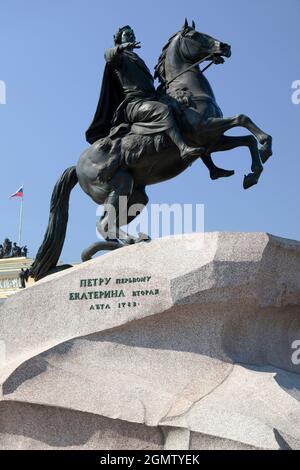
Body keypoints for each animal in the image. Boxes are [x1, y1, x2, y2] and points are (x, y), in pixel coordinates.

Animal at [29, 21, 272, 280]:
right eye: (195, 35)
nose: (225, 47)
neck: (187, 90)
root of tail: (76, 167)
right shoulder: (205, 128)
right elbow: (243, 118)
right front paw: (265, 148)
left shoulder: (213, 140)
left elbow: (247, 139)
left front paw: (253, 172)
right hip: (119, 186)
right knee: (105, 225)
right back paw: (129, 241)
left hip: (135, 198)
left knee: (109, 225)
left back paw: (126, 242)